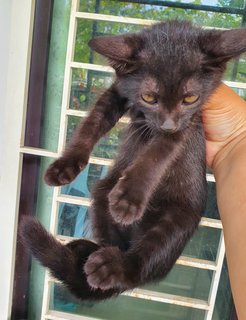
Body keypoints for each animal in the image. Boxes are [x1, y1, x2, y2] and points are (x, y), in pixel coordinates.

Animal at [20, 21, 246, 302]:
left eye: (190, 98)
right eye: (149, 97)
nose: (167, 125)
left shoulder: (187, 123)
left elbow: (157, 153)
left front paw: (129, 197)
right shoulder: (117, 92)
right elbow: (91, 124)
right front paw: (66, 164)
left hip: (178, 220)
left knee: (142, 263)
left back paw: (111, 268)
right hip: (103, 193)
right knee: (112, 243)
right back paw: (88, 252)